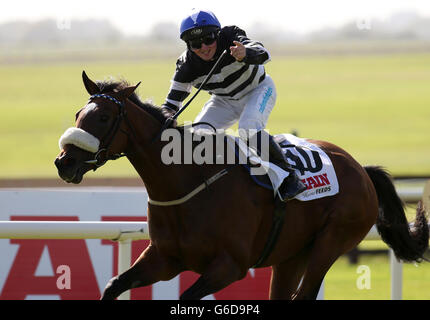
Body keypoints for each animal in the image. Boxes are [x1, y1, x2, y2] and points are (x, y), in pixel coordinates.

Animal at [55, 71, 428, 298]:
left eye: (103, 117)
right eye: (77, 114)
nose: (64, 162)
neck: (188, 182)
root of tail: (360, 169)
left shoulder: (229, 266)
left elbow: (188, 295)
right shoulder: (164, 258)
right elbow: (114, 285)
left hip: (331, 242)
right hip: (291, 254)